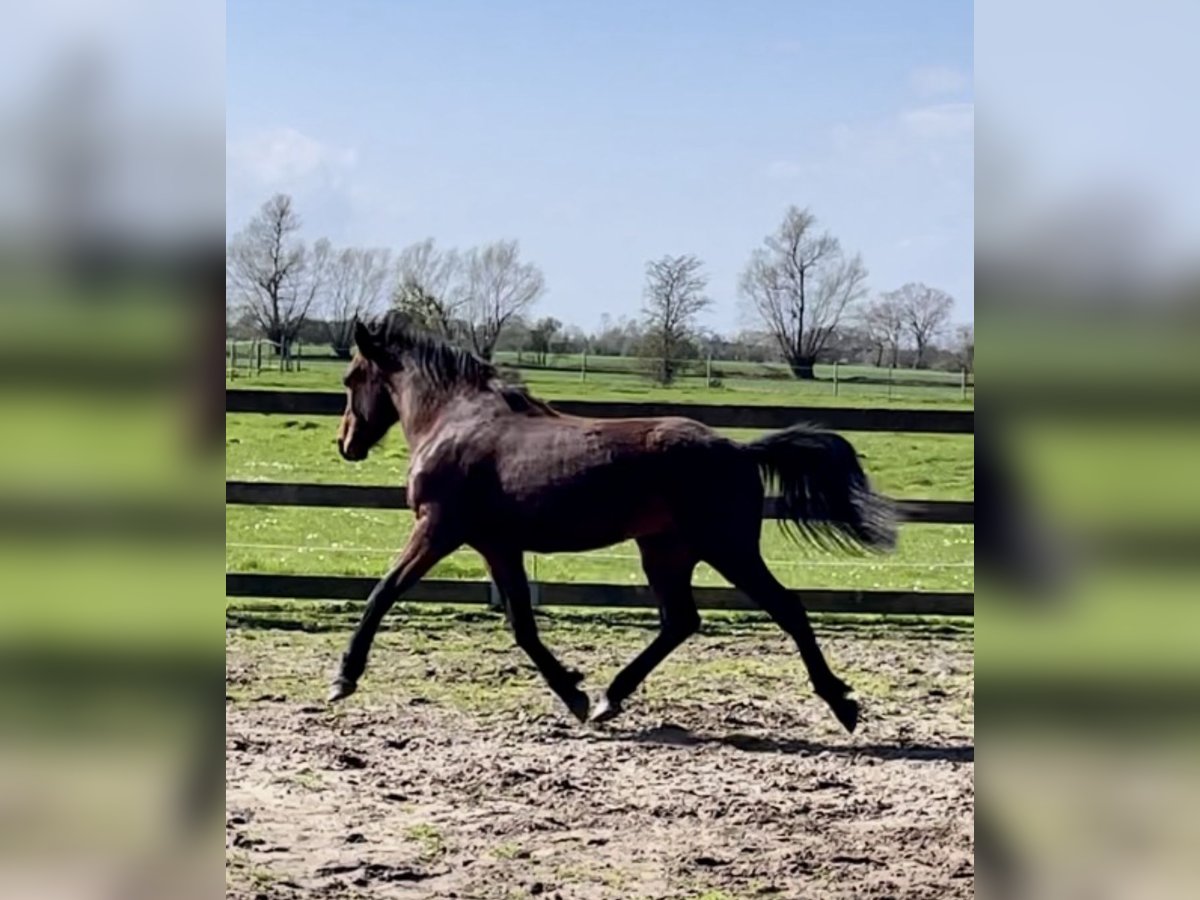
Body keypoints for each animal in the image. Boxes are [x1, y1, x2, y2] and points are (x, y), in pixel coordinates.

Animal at [328, 312, 892, 734]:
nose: (346, 444)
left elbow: (383, 592)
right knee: (680, 621)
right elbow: (522, 625)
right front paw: (575, 695)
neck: (456, 422)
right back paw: (608, 699)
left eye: (351, 379)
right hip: (665, 550)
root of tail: (738, 449)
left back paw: (843, 704)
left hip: (726, 546)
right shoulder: (498, 546)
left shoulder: (438, 528)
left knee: (785, 607)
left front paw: (343, 678)